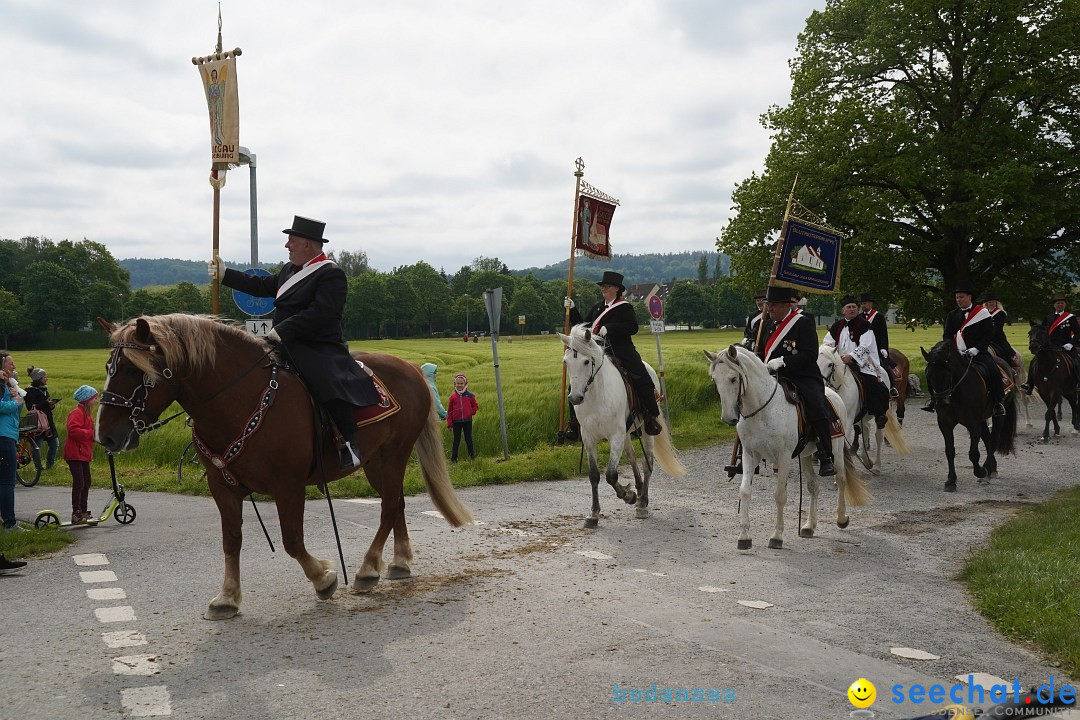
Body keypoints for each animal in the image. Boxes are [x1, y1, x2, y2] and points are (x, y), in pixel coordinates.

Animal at [88, 315, 468, 621]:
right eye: (108, 367)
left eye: (134, 370)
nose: (105, 436)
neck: (238, 399)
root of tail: (411, 368)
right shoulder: (222, 487)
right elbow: (231, 540)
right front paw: (227, 597)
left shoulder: (288, 485)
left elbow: (292, 541)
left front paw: (323, 578)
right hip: (377, 462)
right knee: (397, 503)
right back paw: (399, 562)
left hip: (393, 456)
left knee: (389, 507)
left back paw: (368, 568)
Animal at [561, 325, 686, 528]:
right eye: (566, 362)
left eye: (586, 361)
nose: (575, 398)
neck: (596, 395)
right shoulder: (589, 437)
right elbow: (594, 475)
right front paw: (594, 514)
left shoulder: (615, 436)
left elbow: (611, 475)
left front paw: (628, 496)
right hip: (626, 434)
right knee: (633, 457)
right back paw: (639, 488)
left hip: (645, 431)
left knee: (647, 463)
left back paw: (642, 502)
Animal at [704, 345, 872, 548]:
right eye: (715, 379)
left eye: (733, 378)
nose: (728, 418)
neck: (762, 410)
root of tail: (833, 394)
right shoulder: (749, 455)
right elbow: (744, 491)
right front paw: (744, 536)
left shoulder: (783, 457)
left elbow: (780, 495)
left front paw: (777, 535)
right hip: (806, 455)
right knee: (813, 485)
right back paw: (809, 526)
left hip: (837, 449)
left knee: (840, 479)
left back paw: (841, 518)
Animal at [816, 343, 911, 472]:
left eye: (830, 364)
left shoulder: (848, 419)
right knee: (865, 429)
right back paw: (866, 459)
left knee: (878, 435)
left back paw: (877, 465)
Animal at [924, 341, 1015, 492]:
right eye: (928, 375)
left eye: (947, 374)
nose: (941, 402)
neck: (956, 391)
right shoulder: (945, 423)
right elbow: (950, 451)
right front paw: (951, 481)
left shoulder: (973, 424)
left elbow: (973, 453)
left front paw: (980, 471)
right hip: (983, 419)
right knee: (987, 439)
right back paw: (991, 469)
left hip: (999, 414)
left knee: (994, 439)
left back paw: (987, 470)